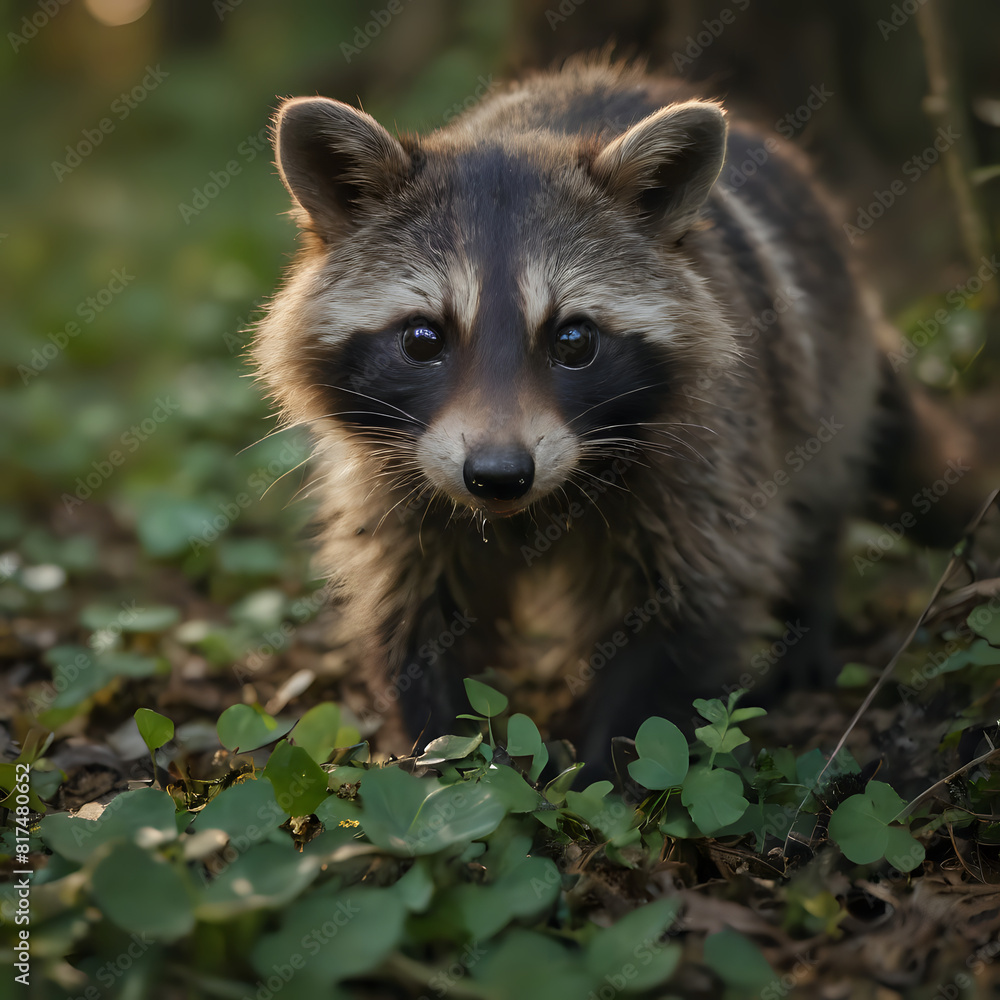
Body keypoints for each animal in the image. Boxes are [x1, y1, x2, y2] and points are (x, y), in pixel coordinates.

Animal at [252, 58, 978, 766]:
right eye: (423, 340)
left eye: (573, 340)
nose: (498, 474)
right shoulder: (393, 475)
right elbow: (412, 606)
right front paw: (440, 752)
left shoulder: (708, 451)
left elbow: (691, 603)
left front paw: (618, 770)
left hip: (821, 374)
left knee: (819, 499)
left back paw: (808, 614)